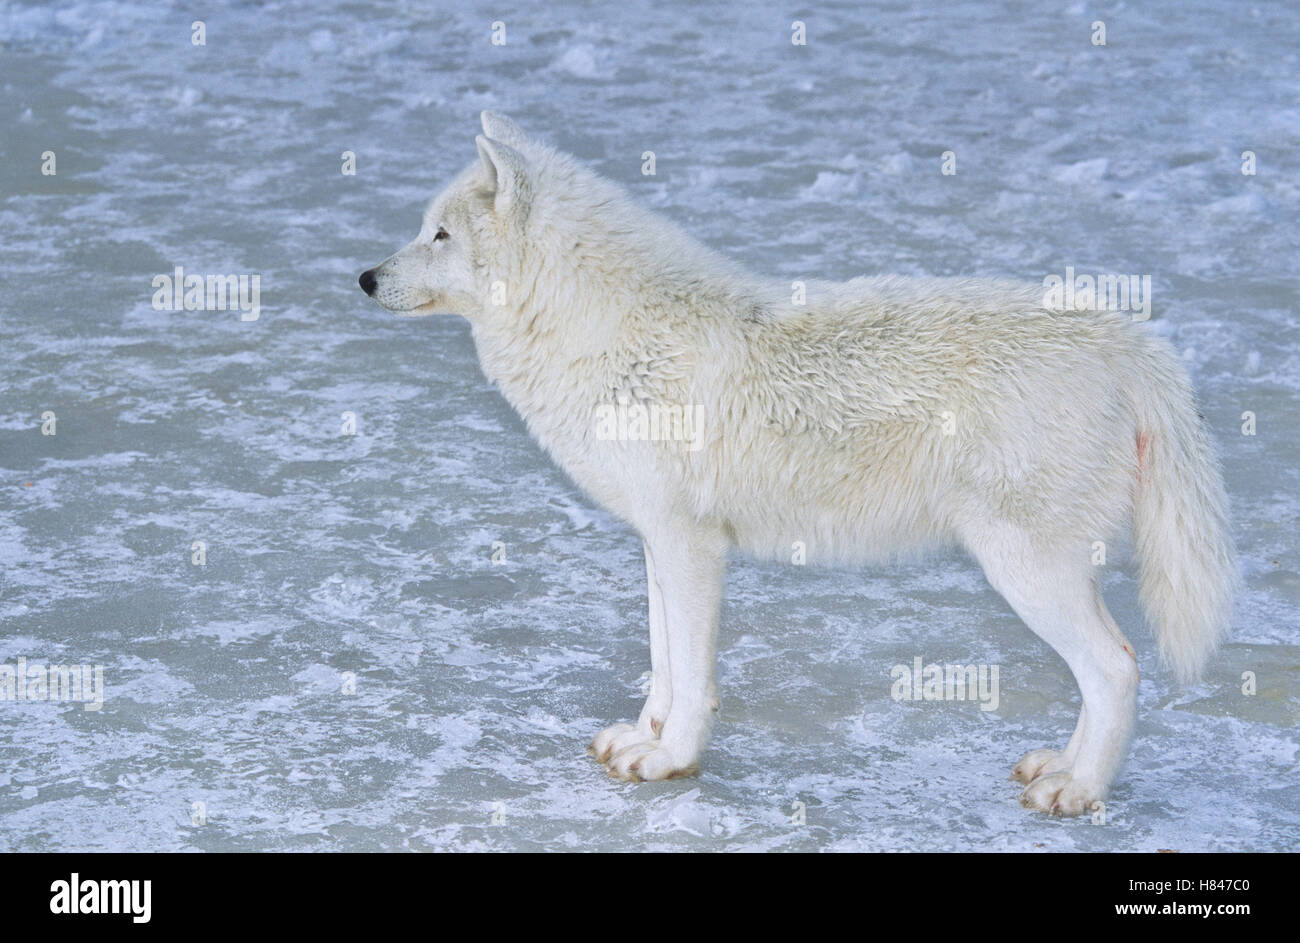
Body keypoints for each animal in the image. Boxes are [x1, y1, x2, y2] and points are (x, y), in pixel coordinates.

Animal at [360, 112, 1235, 815]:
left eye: (440, 235)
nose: (364, 278)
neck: (604, 330)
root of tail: (1134, 340)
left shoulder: (691, 545)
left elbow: (692, 678)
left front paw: (671, 760)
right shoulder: (657, 540)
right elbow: (663, 666)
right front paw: (643, 738)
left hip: (1022, 570)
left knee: (1117, 668)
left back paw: (1078, 791)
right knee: (1109, 670)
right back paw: (1060, 767)